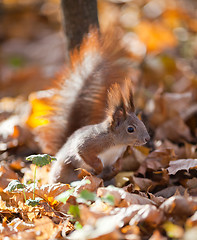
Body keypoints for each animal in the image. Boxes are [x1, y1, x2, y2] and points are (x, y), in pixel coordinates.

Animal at [38, 30, 149, 184]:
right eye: (130, 129)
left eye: (142, 122)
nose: (147, 139)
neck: (117, 144)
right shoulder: (89, 142)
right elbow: (84, 152)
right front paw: (98, 168)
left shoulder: (119, 154)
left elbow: (118, 164)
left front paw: (115, 169)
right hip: (64, 172)